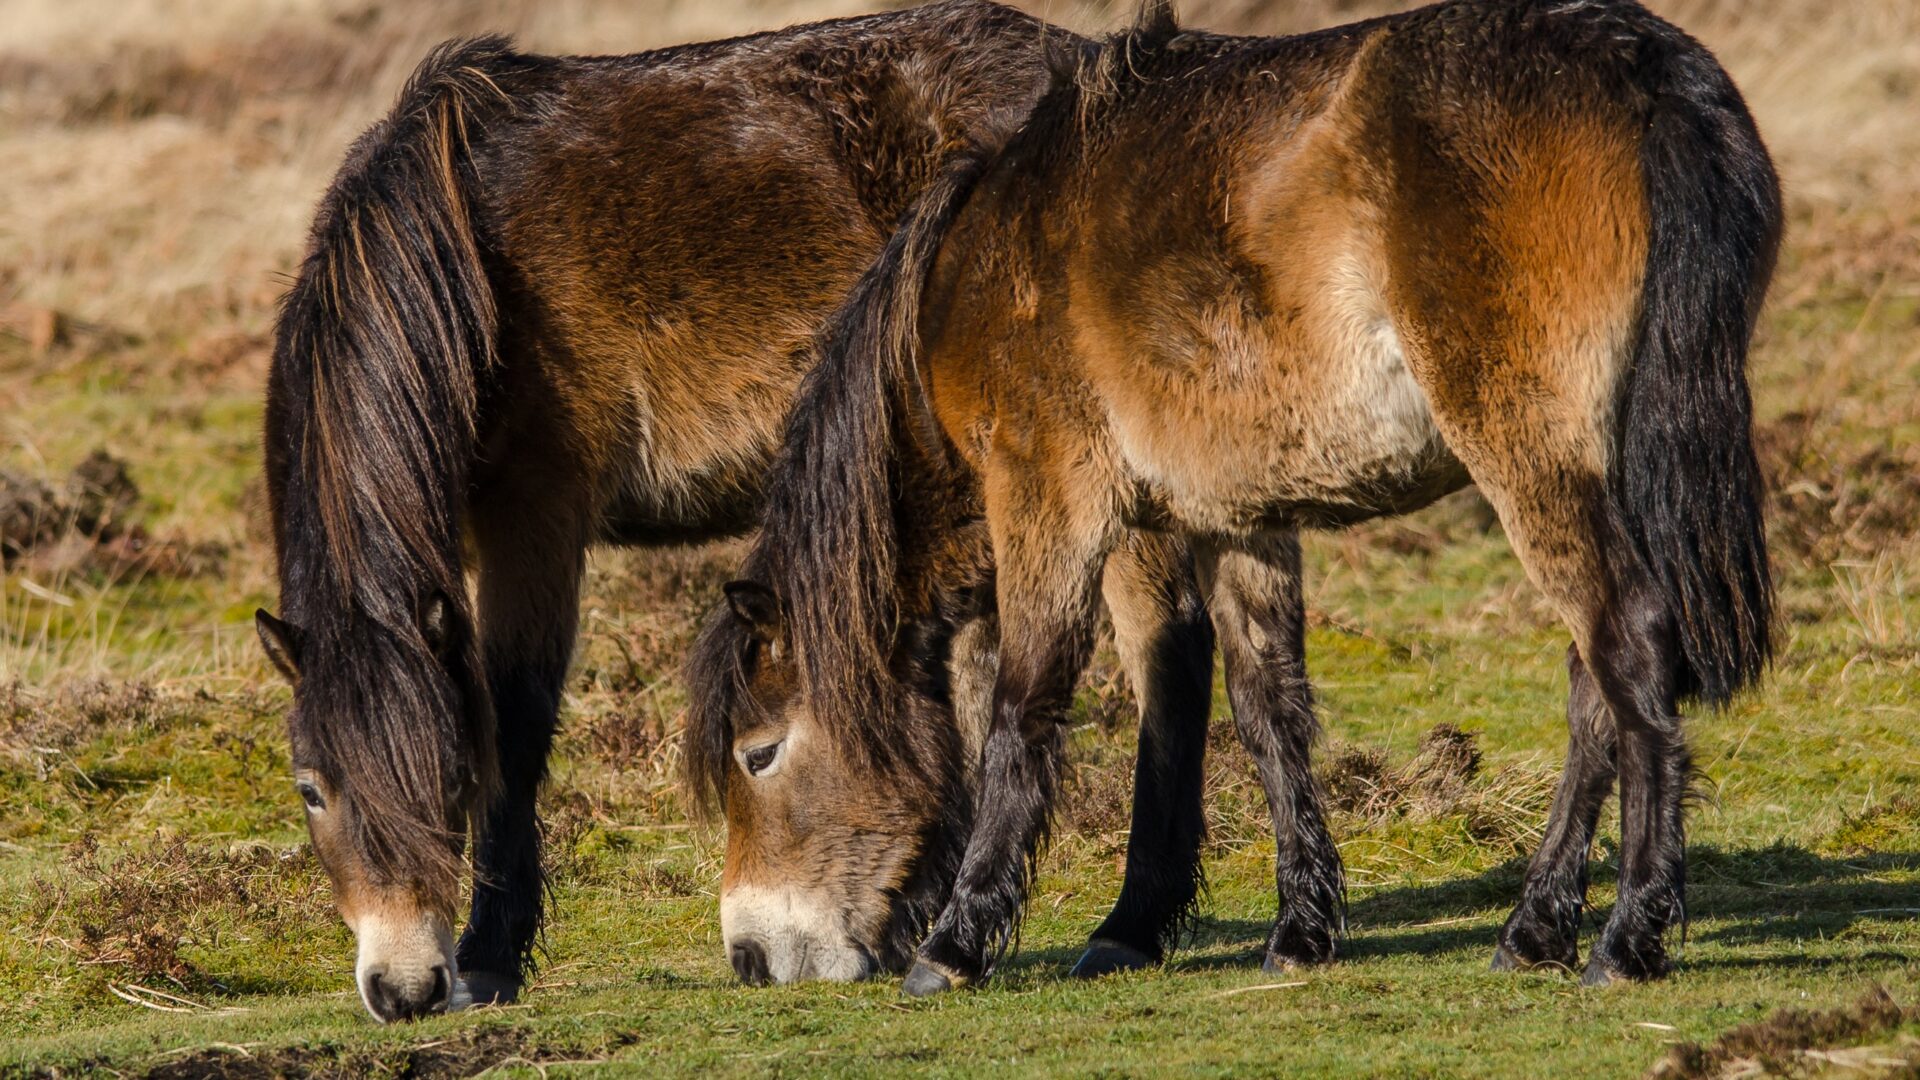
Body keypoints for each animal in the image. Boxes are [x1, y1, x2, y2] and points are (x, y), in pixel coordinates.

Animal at [255, 2, 1113, 1014]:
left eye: (446, 771)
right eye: (310, 789)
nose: (404, 990)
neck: (465, 260)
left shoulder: (535, 517)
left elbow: (518, 718)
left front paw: (493, 952)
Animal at [683, 0, 1774, 991]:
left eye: (760, 754)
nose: (749, 957)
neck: (973, 271)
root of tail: (1641, 66)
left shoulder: (1045, 498)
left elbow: (1021, 707)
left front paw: (956, 946)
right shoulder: (1234, 518)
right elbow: (1265, 708)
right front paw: (1300, 930)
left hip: (1530, 456)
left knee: (1628, 645)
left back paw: (1626, 941)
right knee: (1595, 681)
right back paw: (1535, 929)